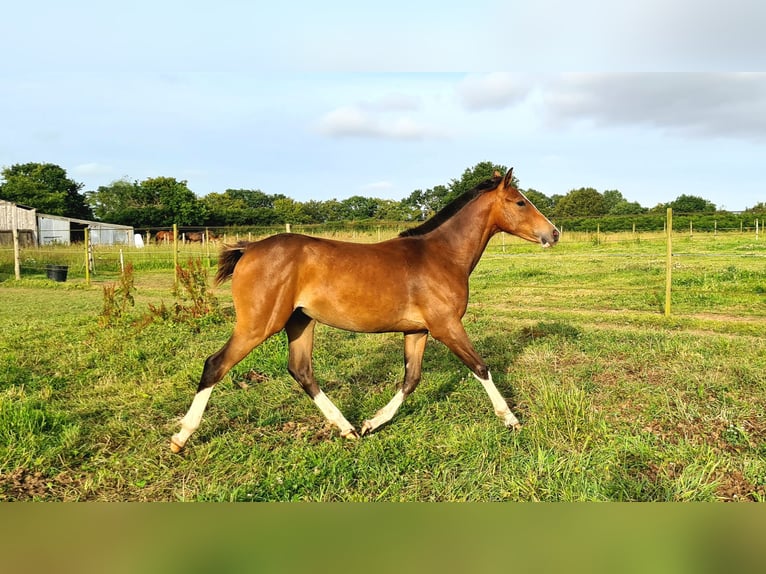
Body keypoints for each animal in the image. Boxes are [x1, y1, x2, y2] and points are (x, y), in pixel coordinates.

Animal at [171, 168, 560, 454]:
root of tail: (249, 249)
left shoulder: (417, 330)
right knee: (215, 365)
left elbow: (411, 379)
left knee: (301, 371)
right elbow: (480, 367)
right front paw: (510, 419)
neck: (440, 255)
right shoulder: (446, 325)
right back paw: (181, 438)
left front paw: (373, 423)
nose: (554, 233)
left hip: (300, 322)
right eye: (520, 202)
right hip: (259, 324)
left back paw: (348, 429)